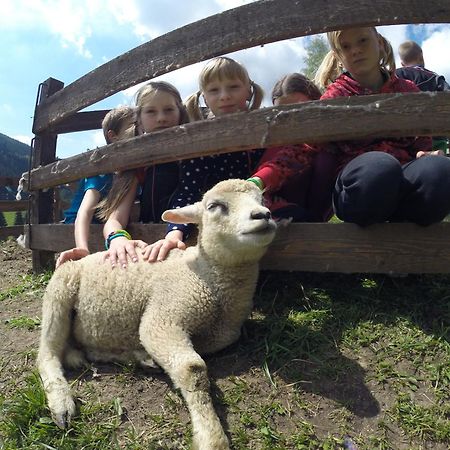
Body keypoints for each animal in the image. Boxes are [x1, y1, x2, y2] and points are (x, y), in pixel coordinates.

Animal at [37, 179, 278, 450]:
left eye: (261, 200)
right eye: (214, 206)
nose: (263, 215)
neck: (206, 276)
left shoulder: (222, 332)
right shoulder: (164, 316)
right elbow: (193, 369)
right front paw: (212, 436)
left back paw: (135, 357)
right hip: (59, 292)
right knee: (47, 353)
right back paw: (61, 403)